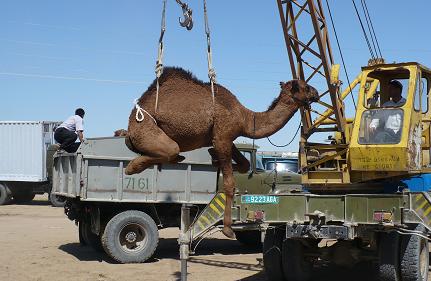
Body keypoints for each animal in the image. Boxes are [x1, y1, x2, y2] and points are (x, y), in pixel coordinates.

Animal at [125, 66, 320, 237]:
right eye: (305, 87)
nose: (317, 92)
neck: (246, 118)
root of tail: (131, 123)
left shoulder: (225, 138)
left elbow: (245, 164)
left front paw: (214, 159)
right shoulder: (223, 137)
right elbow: (229, 184)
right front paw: (228, 229)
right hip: (145, 129)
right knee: (171, 150)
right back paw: (132, 167)